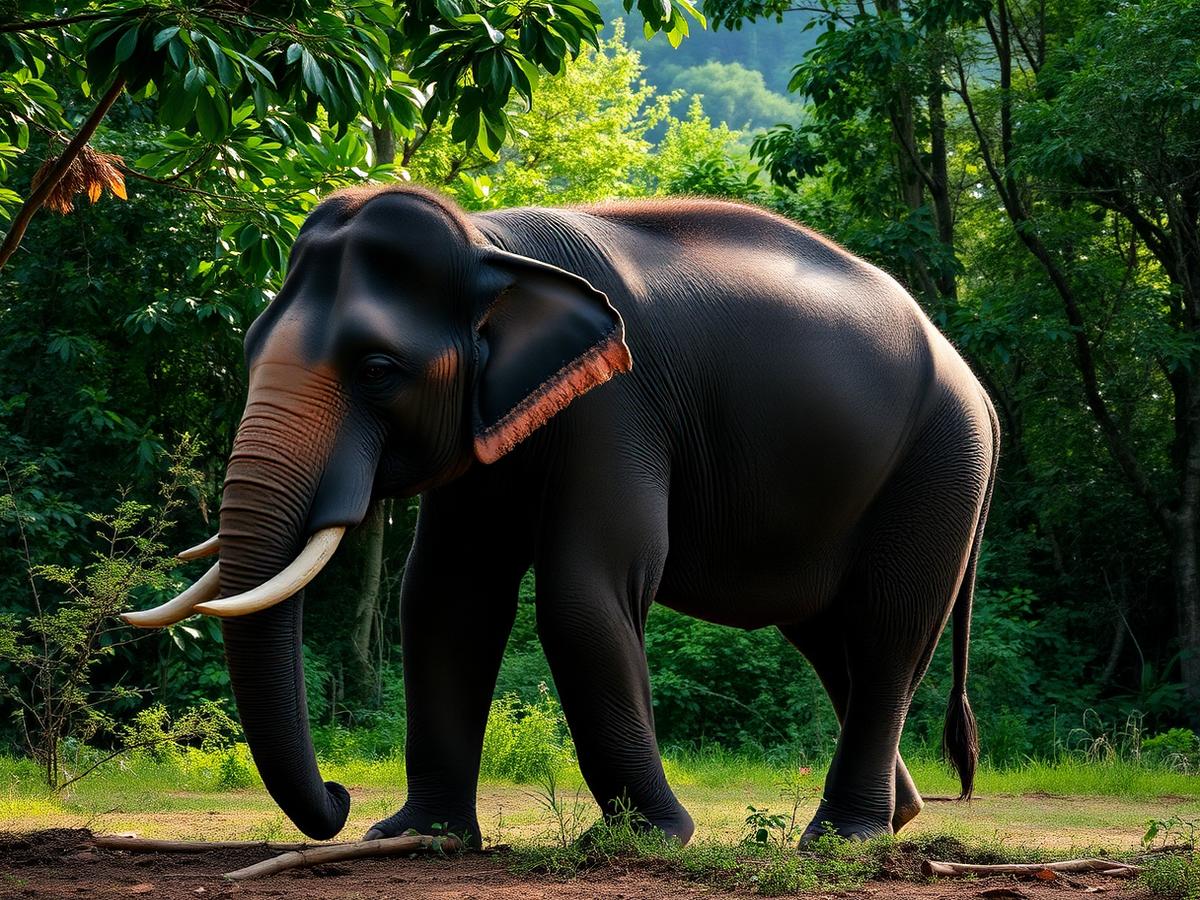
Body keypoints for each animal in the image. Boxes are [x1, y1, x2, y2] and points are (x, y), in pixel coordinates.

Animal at [125, 184, 998, 847]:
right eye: (248, 347)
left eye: (377, 369)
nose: (340, 799)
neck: (490, 243)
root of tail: (975, 382)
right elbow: (446, 595)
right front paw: (419, 837)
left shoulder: (618, 403)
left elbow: (581, 596)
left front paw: (647, 839)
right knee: (826, 635)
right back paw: (897, 817)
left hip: (939, 465)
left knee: (888, 629)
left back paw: (841, 837)